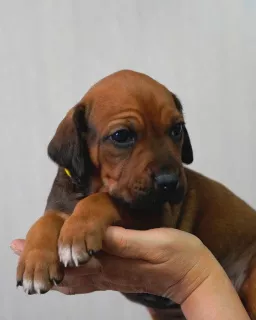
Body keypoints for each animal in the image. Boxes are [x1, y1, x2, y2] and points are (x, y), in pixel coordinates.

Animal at [16, 70, 256, 320]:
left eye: (177, 129)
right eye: (121, 136)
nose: (169, 182)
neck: (92, 186)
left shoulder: (152, 216)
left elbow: (105, 199)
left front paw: (76, 233)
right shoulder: (60, 204)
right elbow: (45, 220)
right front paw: (34, 262)